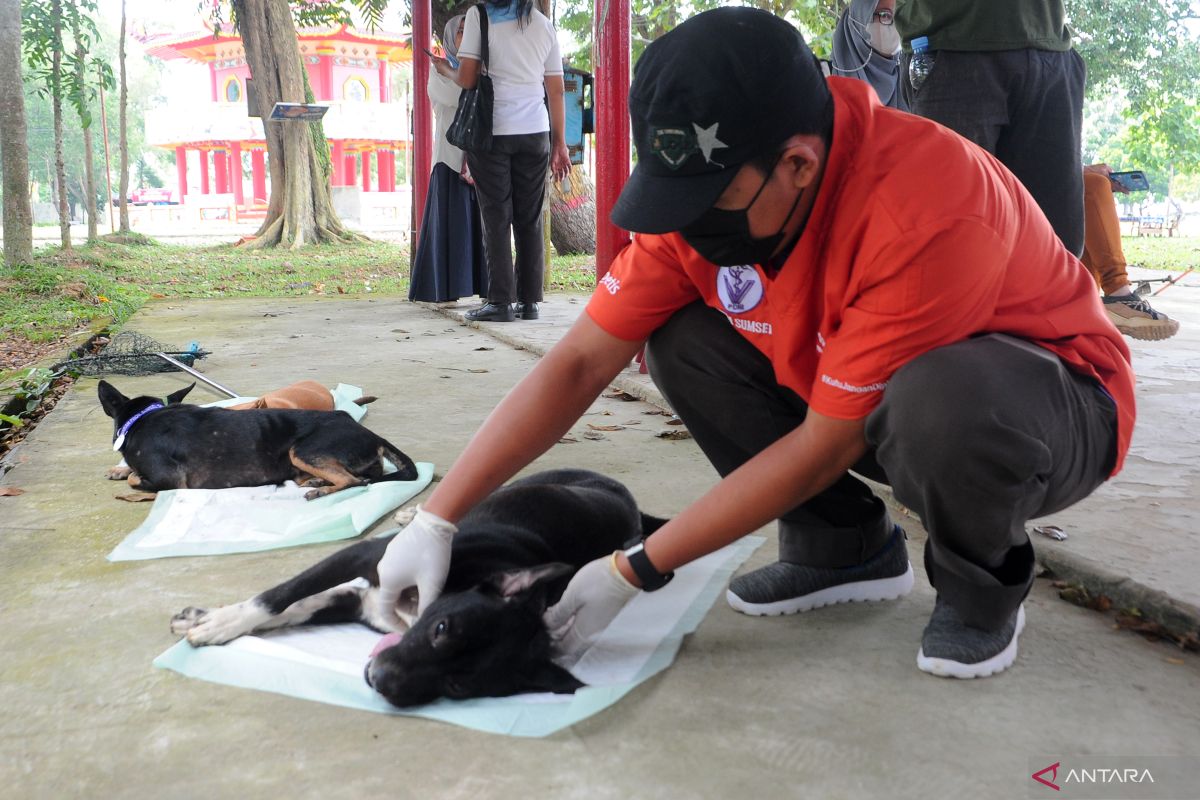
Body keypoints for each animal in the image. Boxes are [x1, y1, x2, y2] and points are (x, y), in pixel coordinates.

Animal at [97, 381, 422, 501]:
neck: (142, 418)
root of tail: (373, 435)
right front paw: (119, 469)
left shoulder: (169, 480)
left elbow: (136, 479)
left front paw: (129, 475)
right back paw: (317, 482)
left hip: (302, 450)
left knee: (354, 481)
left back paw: (320, 490)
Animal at [169, 470, 667, 705]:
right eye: (443, 629)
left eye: (459, 686)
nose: (382, 681)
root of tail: (634, 506)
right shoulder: (365, 559)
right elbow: (279, 598)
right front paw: (220, 622)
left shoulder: (363, 604)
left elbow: (301, 606)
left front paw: (212, 619)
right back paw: (416, 514)